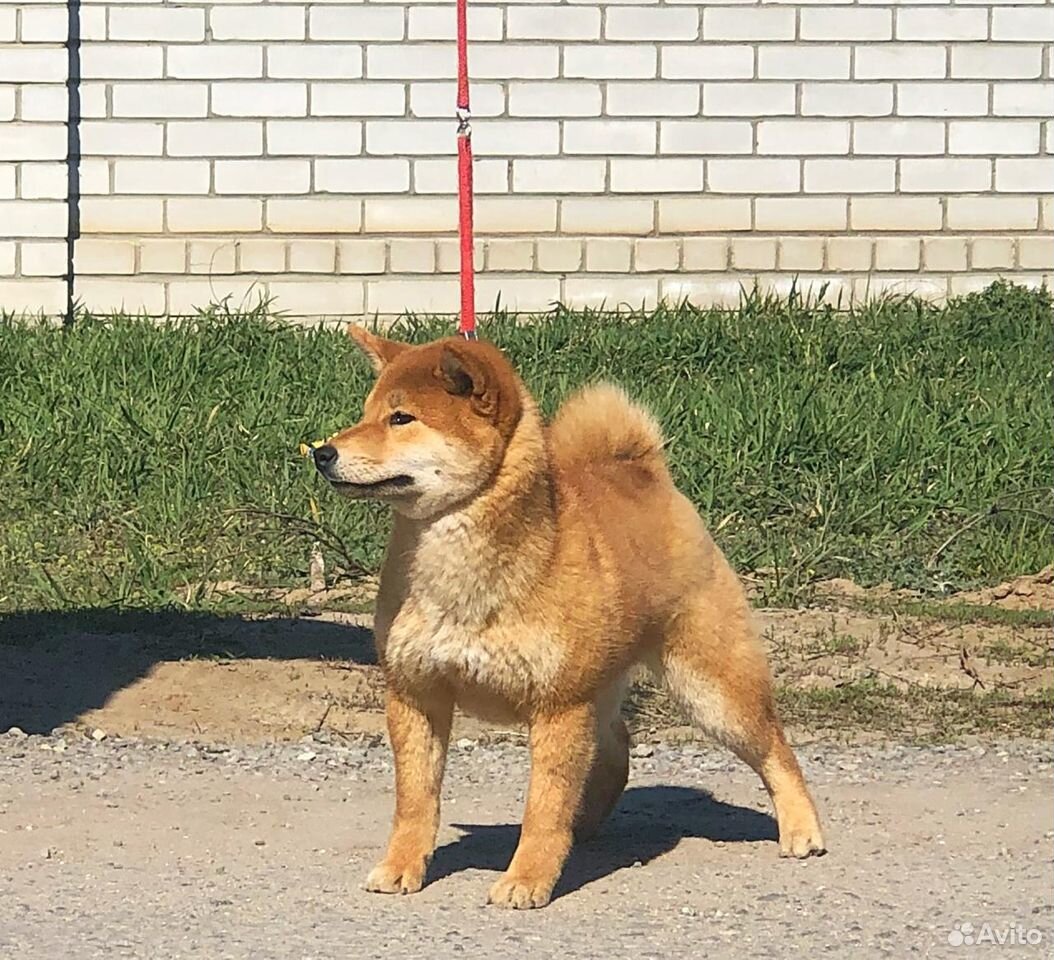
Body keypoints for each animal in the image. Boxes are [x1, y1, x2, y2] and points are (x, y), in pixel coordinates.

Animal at [311, 328, 822, 910]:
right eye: (366, 413)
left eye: (402, 418)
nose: (322, 452)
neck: (458, 569)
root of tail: (643, 472)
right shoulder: (416, 694)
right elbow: (415, 802)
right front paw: (401, 867)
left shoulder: (557, 706)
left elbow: (543, 808)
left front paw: (527, 878)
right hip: (602, 687)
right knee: (617, 748)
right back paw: (585, 823)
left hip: (709, 689)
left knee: (774, 748)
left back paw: (802, 829)